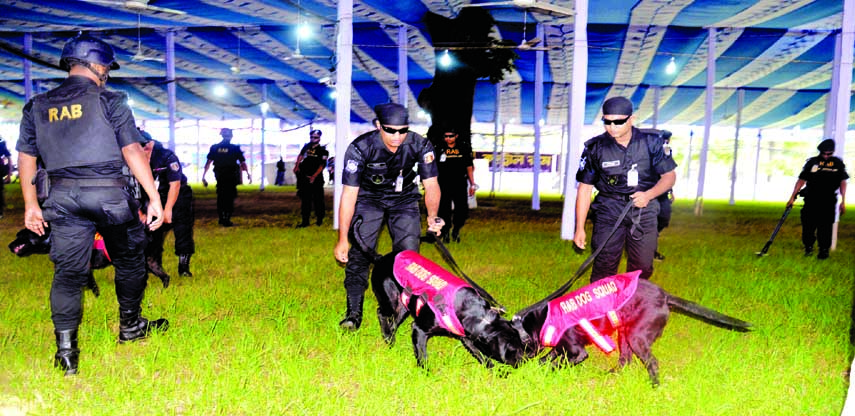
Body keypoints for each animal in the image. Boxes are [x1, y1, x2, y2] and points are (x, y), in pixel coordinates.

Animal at [350, 219, 524, 368]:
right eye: (512, 349)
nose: (524, 361)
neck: (474, 312)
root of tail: (380, 258)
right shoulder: (419, 329)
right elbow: (422, 355)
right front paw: (426, 374)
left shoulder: (467, 337)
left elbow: (481, 355)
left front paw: (498, 372)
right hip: (389, 300)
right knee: (381, 312)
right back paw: (387, 336)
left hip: (404, 306)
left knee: (393, 321)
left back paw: (390, 338)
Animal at [512, 272, 752, 386]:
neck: (541, 319)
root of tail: (665, 297)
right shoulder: (560, 346)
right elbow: (548, 358)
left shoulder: (577, 351)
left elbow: (557, 364)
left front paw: (544, 372)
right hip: (625, 334)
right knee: (625, 360)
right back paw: (610, 374)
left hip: (636, 337)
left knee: (651, 362)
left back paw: (654, 386)